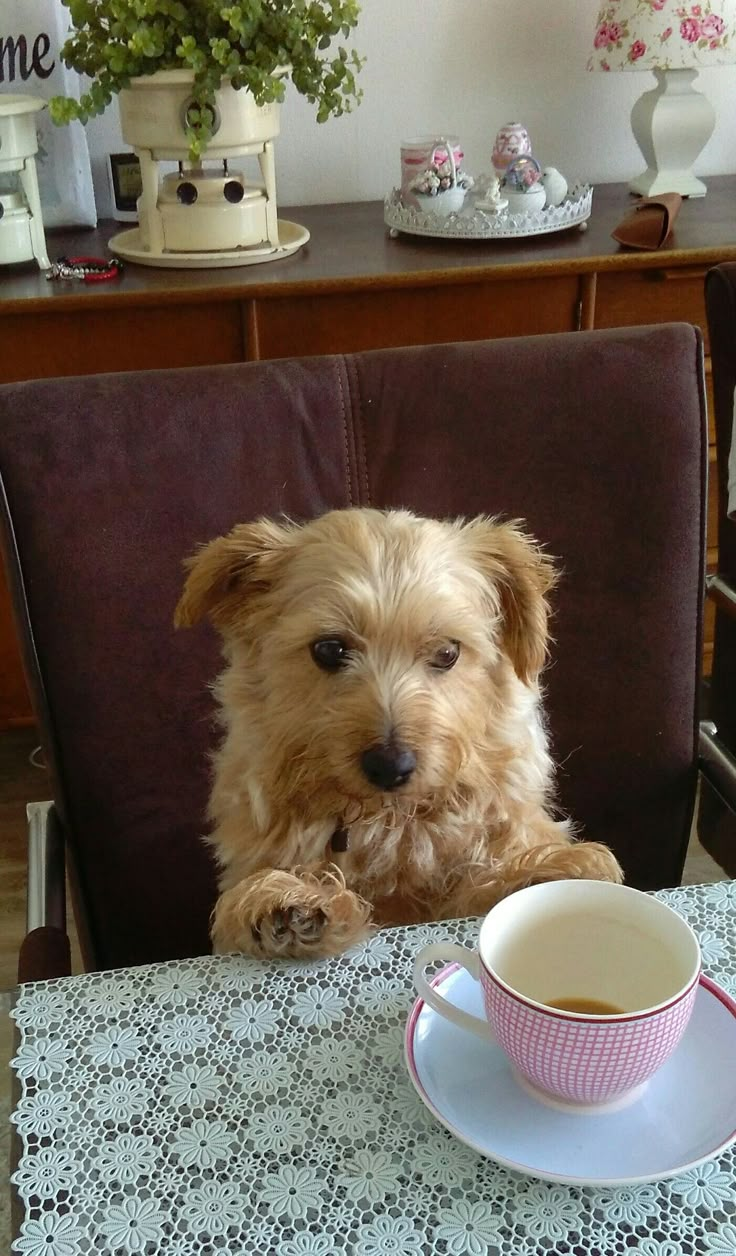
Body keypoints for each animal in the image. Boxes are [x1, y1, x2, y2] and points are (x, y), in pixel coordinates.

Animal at [175, 504, 617, 954]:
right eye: (329, 649)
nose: (390, 766)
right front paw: (285, 898)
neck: (389, 822)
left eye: (447, 652)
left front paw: (540, 874)